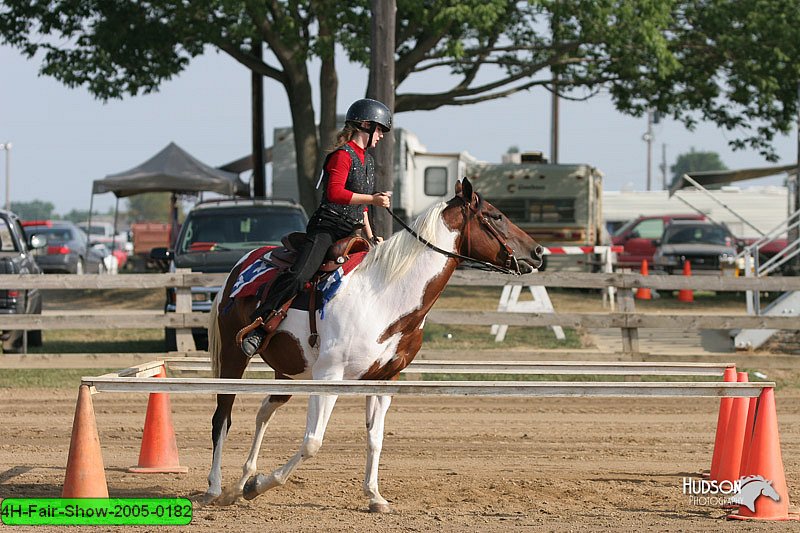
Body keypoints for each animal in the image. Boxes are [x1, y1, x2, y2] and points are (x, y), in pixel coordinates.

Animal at [203, 178, 548, 512]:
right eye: (495, 216)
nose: (538, 252)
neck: (384, 295)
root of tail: (238, 267)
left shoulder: (383, 380)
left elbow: (375, 438)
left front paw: (374, 496)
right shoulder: (329, 376)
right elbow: (313, 441)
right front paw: (259, 485)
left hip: (289, 372)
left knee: (264, 411)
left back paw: (239, 482)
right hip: (234, 356)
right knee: (223, 417)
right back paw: (215, 488)